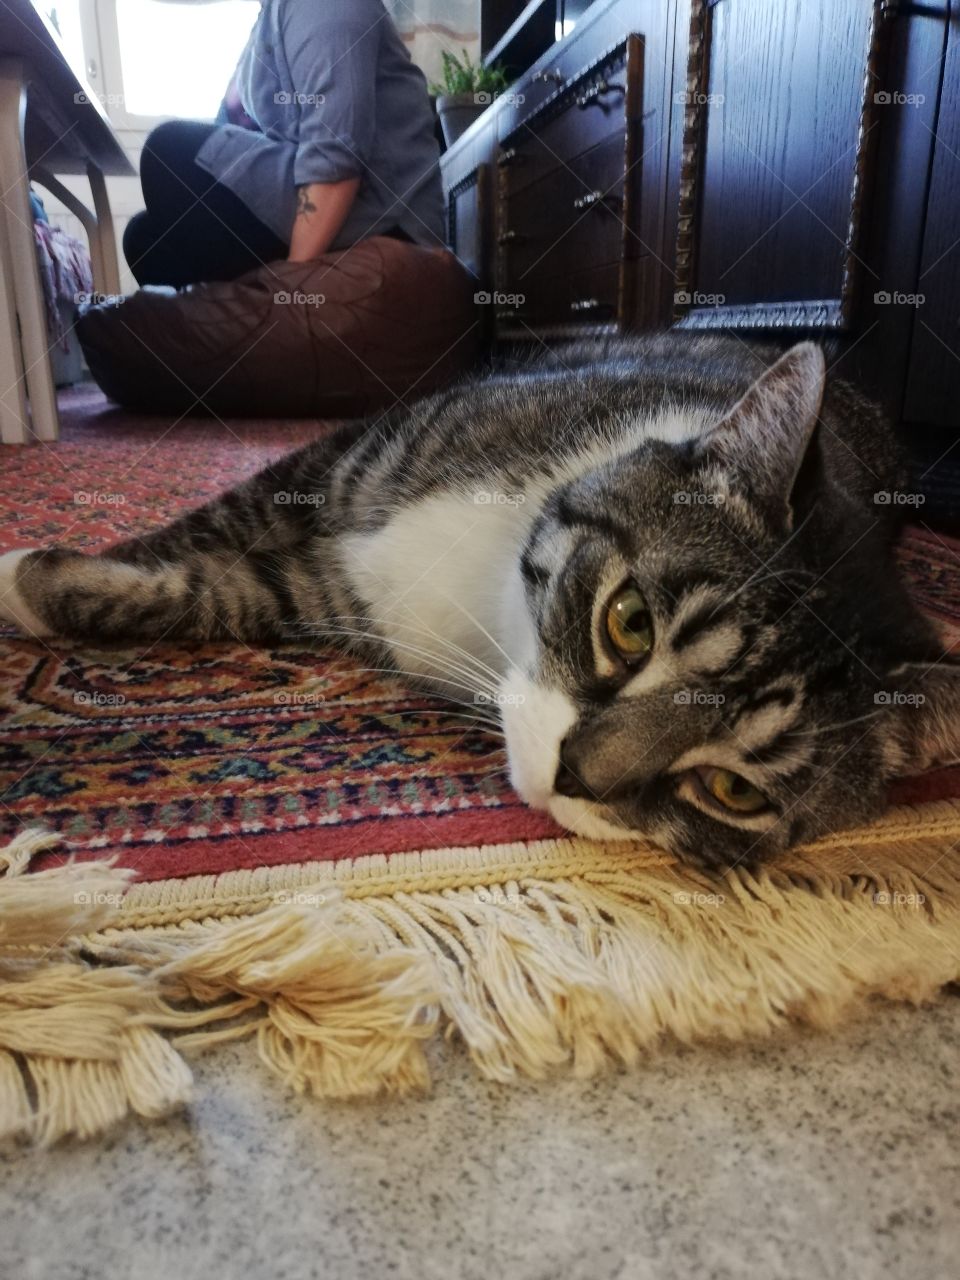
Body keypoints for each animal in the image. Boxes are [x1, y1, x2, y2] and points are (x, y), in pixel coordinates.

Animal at [1, 335, 960, 865]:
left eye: (731, 789)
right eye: (630, 624)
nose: (578, 776)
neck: (490, 616)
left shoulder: (318, 591)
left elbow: (219, 594)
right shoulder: (353, 461)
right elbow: (212, 524)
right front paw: (28, 574)